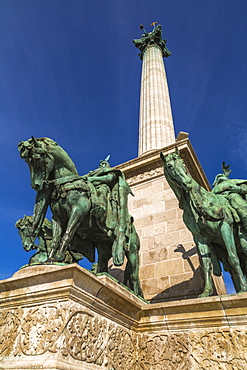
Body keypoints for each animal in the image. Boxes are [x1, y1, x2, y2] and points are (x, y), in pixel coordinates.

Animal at [160, 149, 247, 296]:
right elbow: (207, 264)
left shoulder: (225, 226)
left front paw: (244, 289)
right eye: (170, 166)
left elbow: (233, 257)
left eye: (182, 162)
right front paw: (206, 291)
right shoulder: (200, 238)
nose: (188, 183)